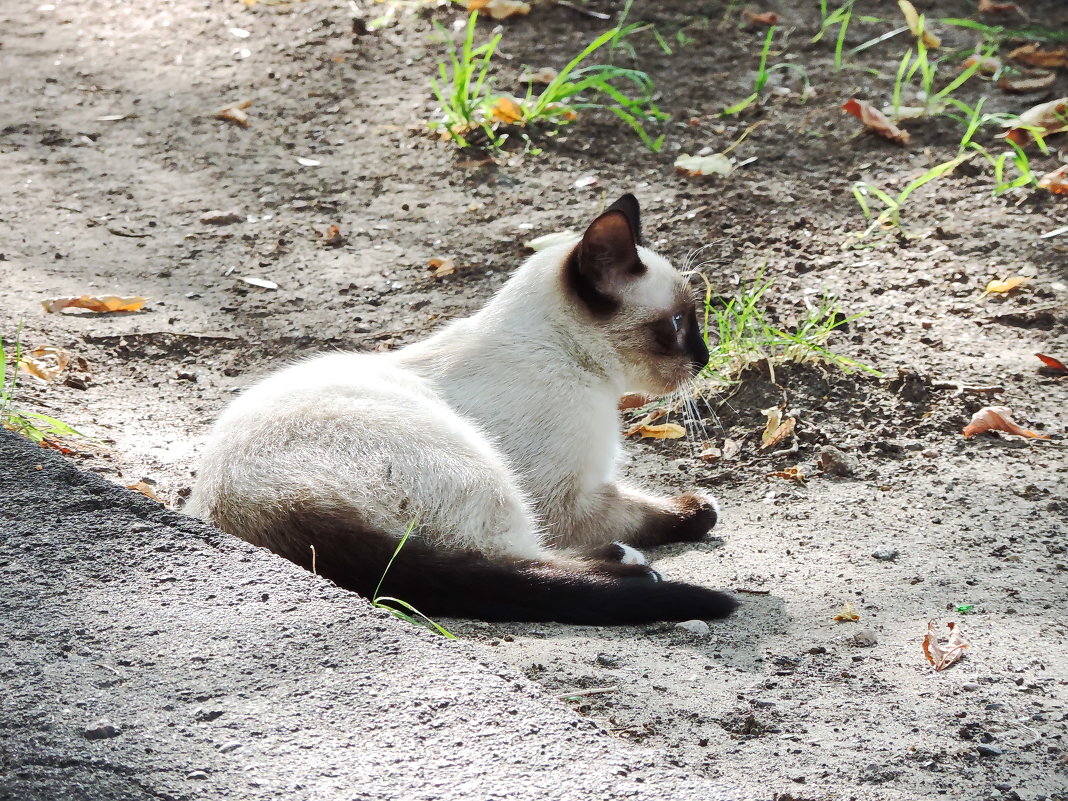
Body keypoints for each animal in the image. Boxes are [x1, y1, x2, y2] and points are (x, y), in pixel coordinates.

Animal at [187, 194, 739, 627]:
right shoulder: (568, 497)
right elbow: (646, 510)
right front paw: (696, 510)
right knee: (516, 562)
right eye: (678, 324)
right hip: (479, 468)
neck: (572, 360)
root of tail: (258, 507)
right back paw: (636, 569)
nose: (706, 358)